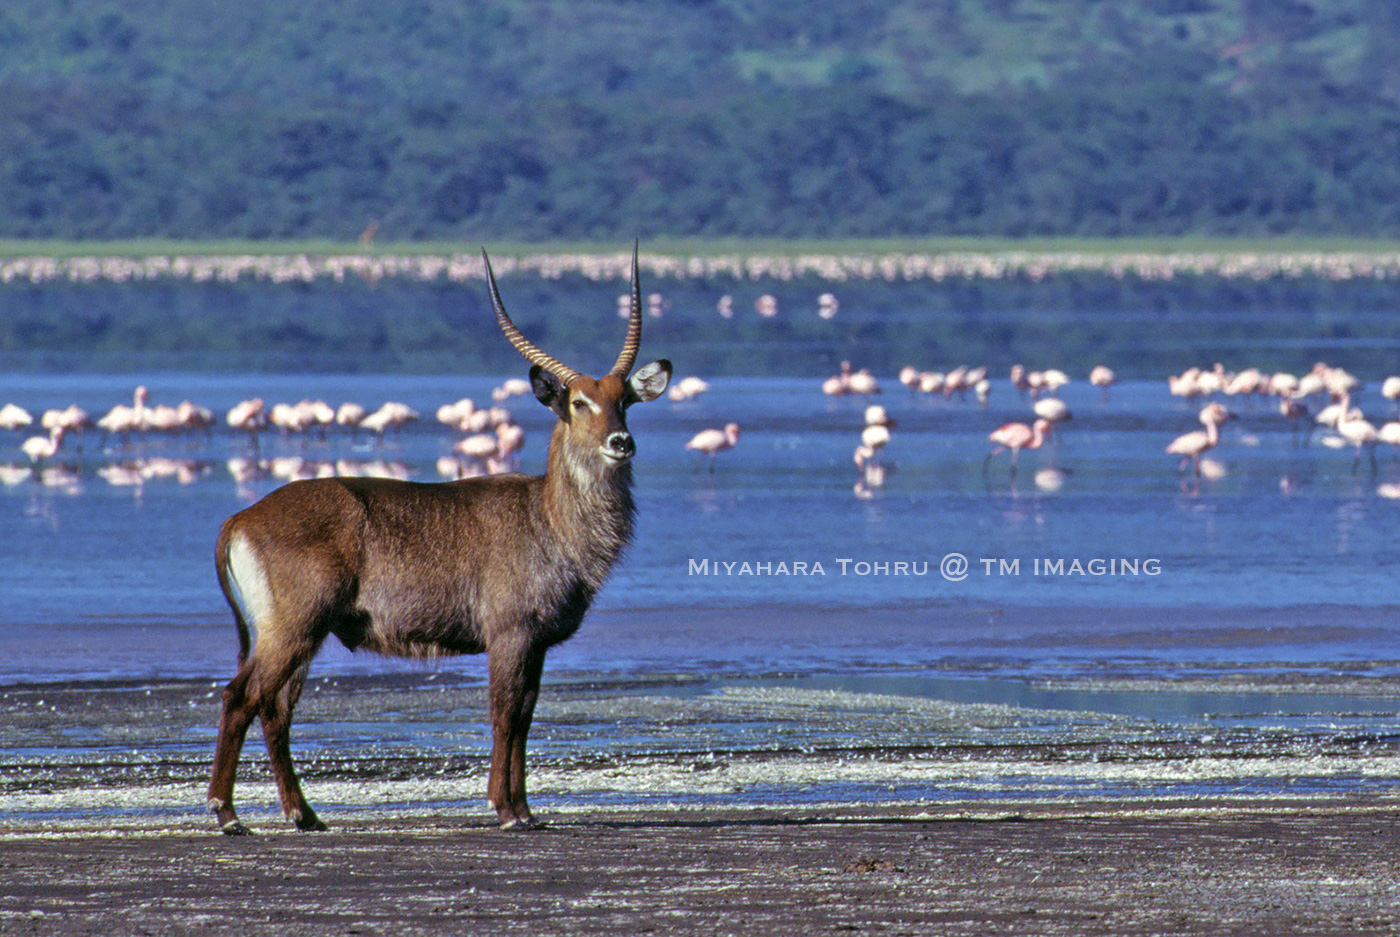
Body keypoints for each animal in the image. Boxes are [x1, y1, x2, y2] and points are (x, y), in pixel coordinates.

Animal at [204, 245, 677, 829]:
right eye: (578, 403)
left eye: (624, 400)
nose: (620, 441)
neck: (549, 518)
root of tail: (240, 518)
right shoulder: (510, 633)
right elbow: (505, 712)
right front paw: (506, 809)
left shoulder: (535, 642)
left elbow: (526, 714)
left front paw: (527, 809)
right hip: (294, 626)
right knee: (240, 696)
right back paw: (227, 814)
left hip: (295, 633)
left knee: (275, 707)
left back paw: (303, 814)